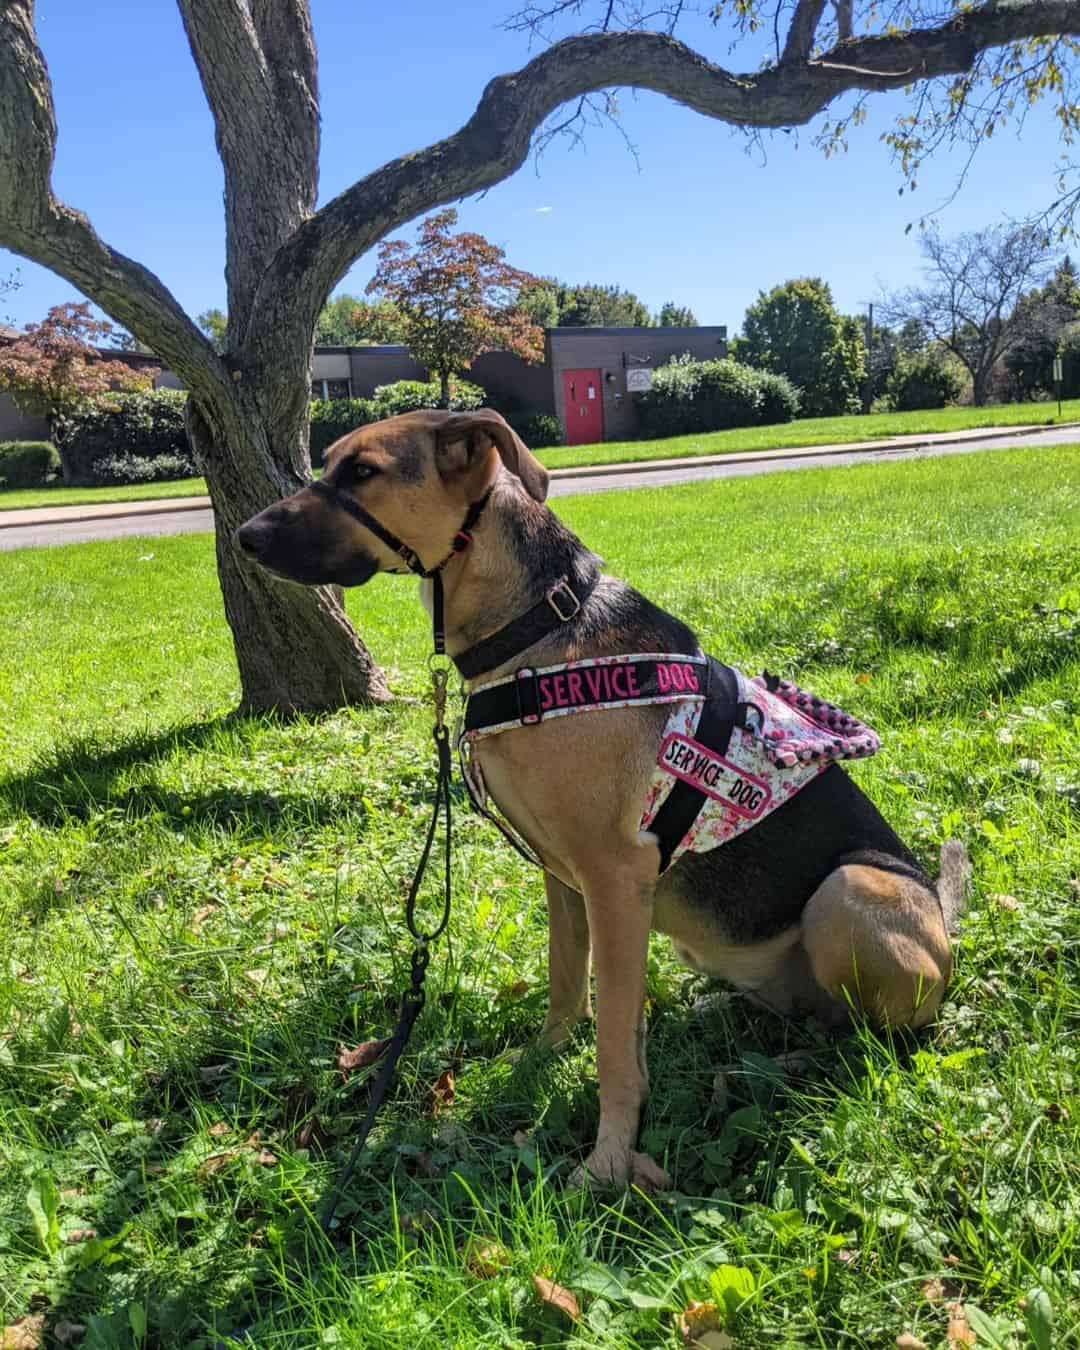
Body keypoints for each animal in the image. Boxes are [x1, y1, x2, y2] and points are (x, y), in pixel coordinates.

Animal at [238, 405, 972, 1188]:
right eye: (329, 462)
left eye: (362, 471)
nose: (245, 537)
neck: (536, 627)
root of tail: (943, 920)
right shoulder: (562, 878)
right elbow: (566, 983)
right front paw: (540, 1060)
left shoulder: (617, 881)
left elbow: (616, 1038)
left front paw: (610, 1159)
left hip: (848, 892)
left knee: (878, 1034)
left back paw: (801, 1064)